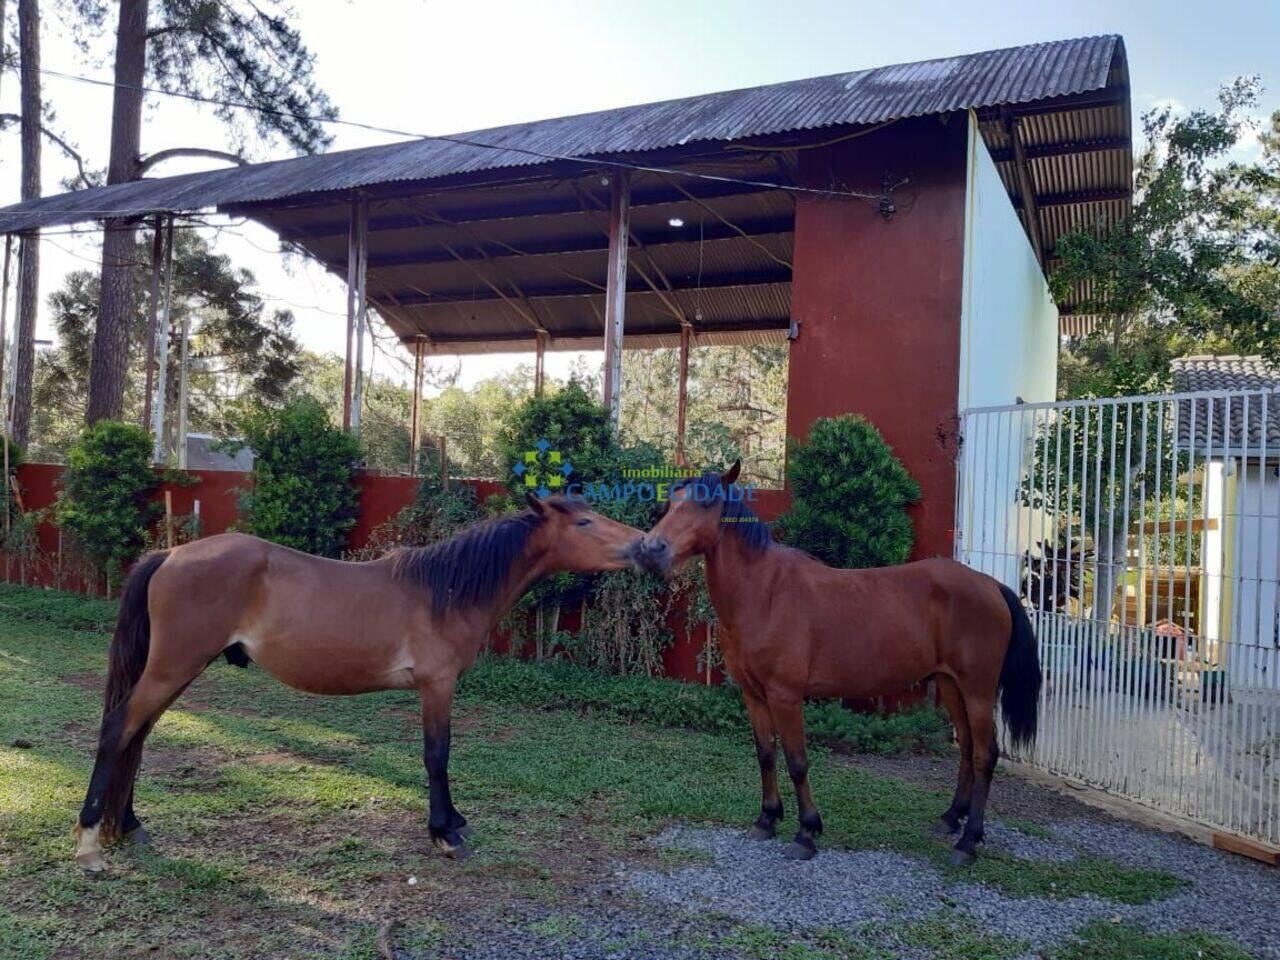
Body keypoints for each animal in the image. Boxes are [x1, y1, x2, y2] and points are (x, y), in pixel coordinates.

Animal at [74, 496, 645, 870]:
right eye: (586, 521)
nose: (646, 545)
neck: (445, 591)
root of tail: (171, 555)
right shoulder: (437, 687)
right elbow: (437, 757)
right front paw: (444, 832)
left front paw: (453, 822)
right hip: (172, 666)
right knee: (117, 731)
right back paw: (89, 842)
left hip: (174, 670)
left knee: (136, 737)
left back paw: (129, 825)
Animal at [640, 465, 1039, 865]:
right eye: (671, 501)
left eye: (706, 504)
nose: (652, 548)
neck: (764, 594)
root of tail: (991, 585)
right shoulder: (753, 696)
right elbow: (766, 755)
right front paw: (766, 820)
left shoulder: (785, 697)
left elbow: (797, 761)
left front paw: (806, 833)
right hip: (950, 684)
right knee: (968, 749)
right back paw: (951, 819)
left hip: (977, 690)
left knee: (986, 754)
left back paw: (968, 842)